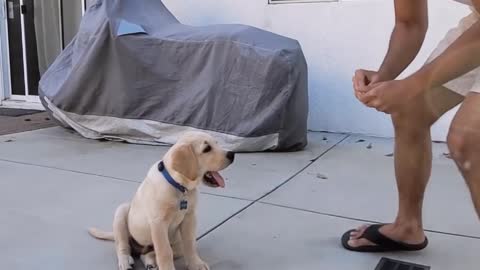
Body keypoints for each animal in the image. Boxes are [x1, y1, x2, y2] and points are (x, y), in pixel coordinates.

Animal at [89, 132, 235, 270]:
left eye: (217, 143)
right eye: (207, 149)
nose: (232, 154)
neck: (179, 186)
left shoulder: (189, 218)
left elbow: (190, 244)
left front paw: (196, 264)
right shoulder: (158, 223)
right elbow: (164, 251)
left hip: (177, 242)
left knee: (148, 254)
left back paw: (149, 262)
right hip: (122, 213)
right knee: (123, 246)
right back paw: (125, 262)